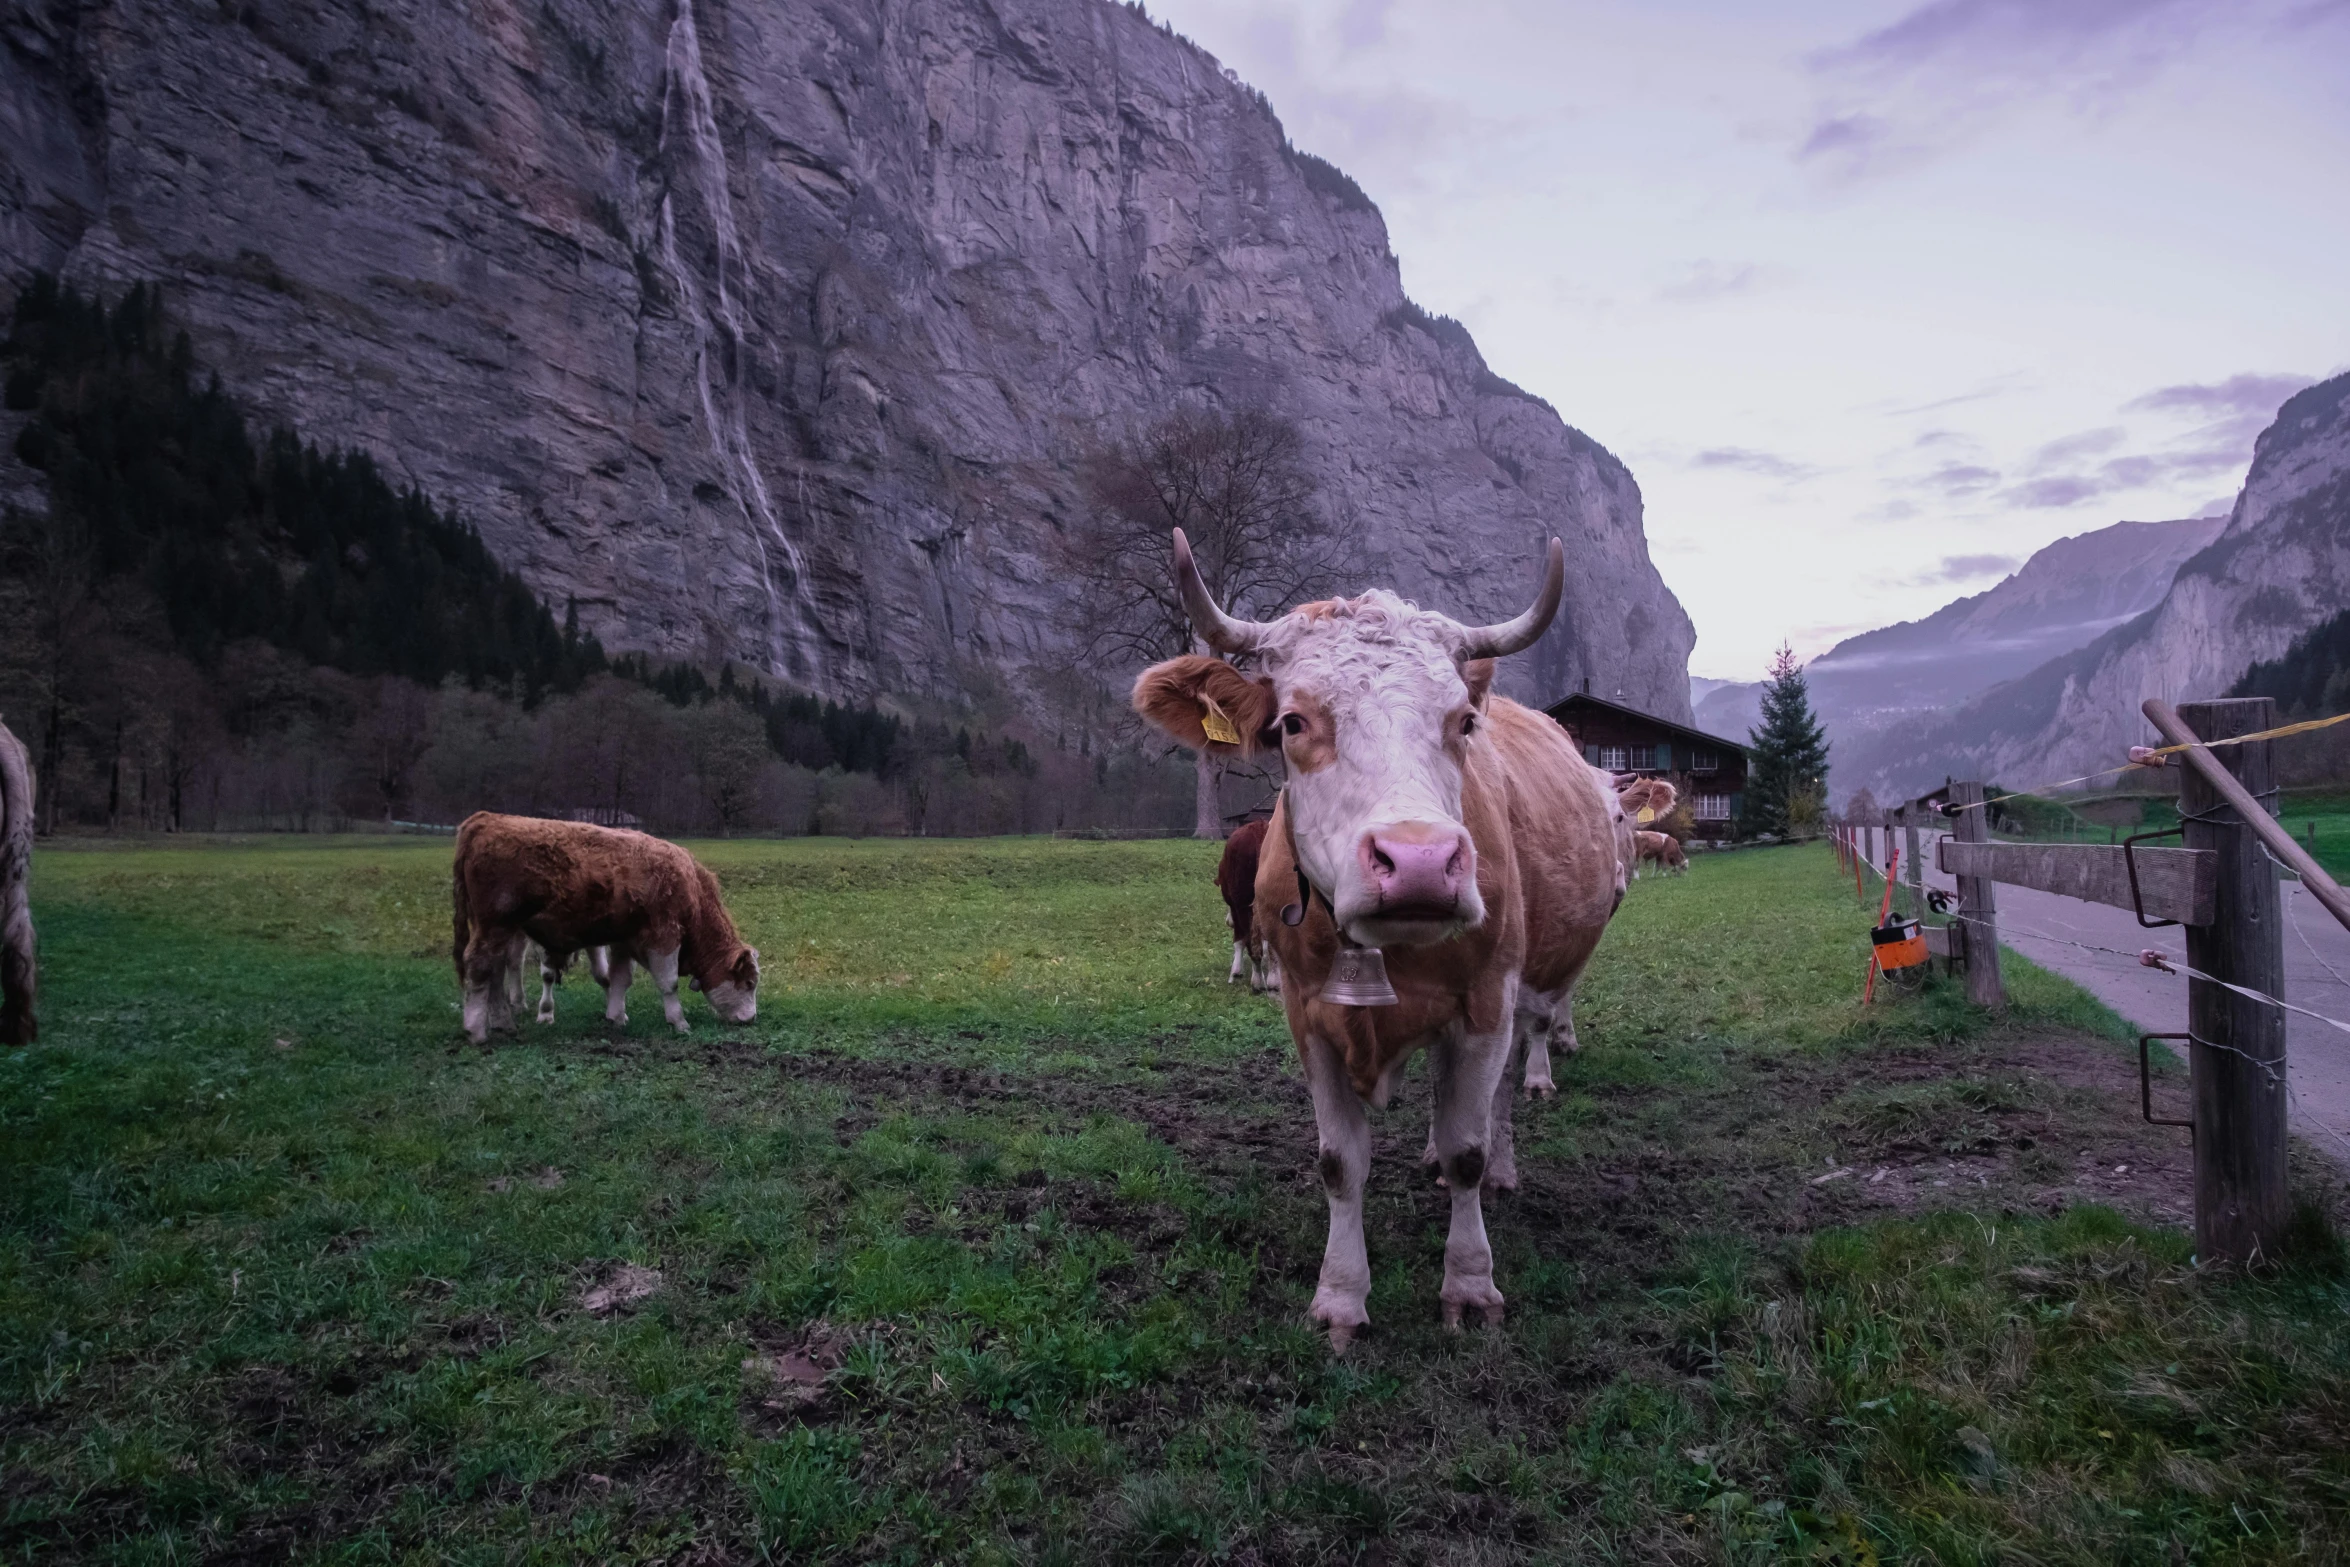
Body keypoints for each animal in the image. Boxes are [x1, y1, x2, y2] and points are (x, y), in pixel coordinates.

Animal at [451, 817, 761, 1047]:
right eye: (749, 983)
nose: (751, 1019)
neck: (690, 887)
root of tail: (485, 820)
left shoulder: (624, 940)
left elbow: (620, 979)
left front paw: (616, 1016)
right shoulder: (665, 936)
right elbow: (669, 983)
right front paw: (678, 1021)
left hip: (500, 932)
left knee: (496, 971)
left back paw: (503, 1022)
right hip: (495, 926)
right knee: (480, 966)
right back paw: (476, 1030)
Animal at [1222, 822, 1278, 991]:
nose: (1228, 922)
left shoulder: (1236, 907)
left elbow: (1239, 940)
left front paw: (1235, 972)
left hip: (1241, 905)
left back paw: (1259, 982)